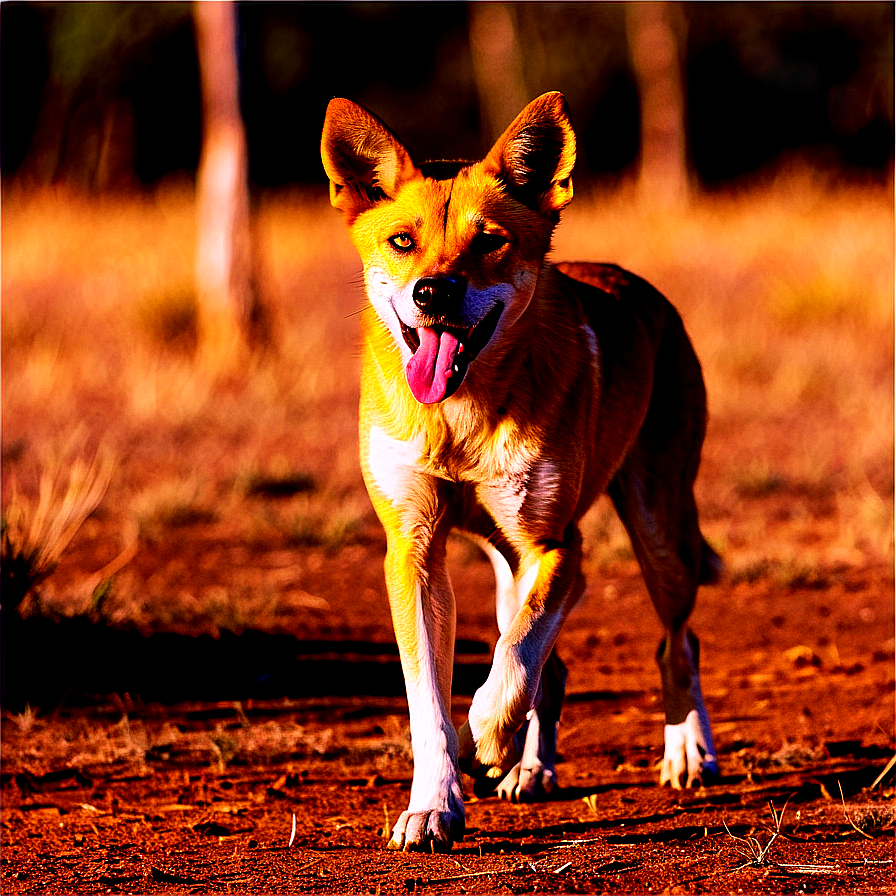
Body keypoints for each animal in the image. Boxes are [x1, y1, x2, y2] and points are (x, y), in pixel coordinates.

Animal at [322, 93, 720, 856]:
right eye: (402, 242)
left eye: (489, 242)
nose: (433, 293)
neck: (460, 420)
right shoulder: (414, 550)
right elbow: (431, 700)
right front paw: (434, 804)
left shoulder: (557, 547)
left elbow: (511, 664)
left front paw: (484, 735)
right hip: (508, 560)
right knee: (551, 666)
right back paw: (528, 769)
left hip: (657, 530)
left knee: (675, 643)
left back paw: (687, 751)